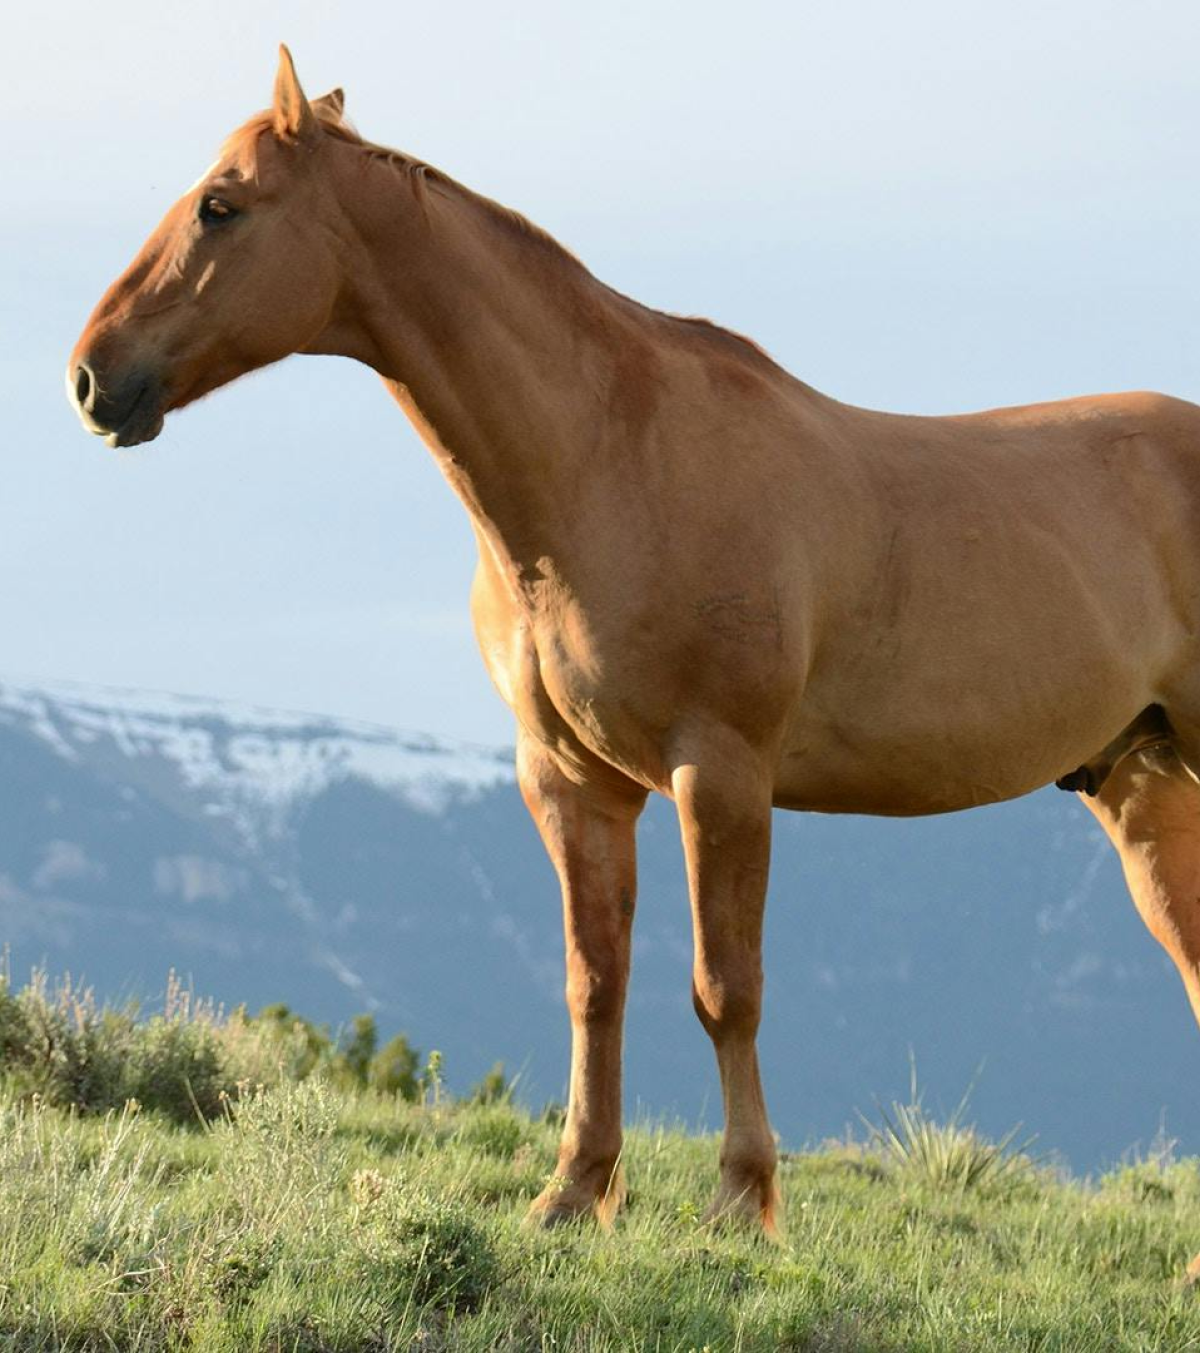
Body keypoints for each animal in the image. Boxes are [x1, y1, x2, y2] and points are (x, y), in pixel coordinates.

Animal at [68, 46, 1200, 1236]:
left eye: (221, 204)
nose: (93, 378)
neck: (609, 461)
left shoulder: (722, 773)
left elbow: (724, 987)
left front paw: (742, 1203)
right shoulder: (572, 779)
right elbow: (594, 982)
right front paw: (574, 1192)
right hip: (1144, 790)